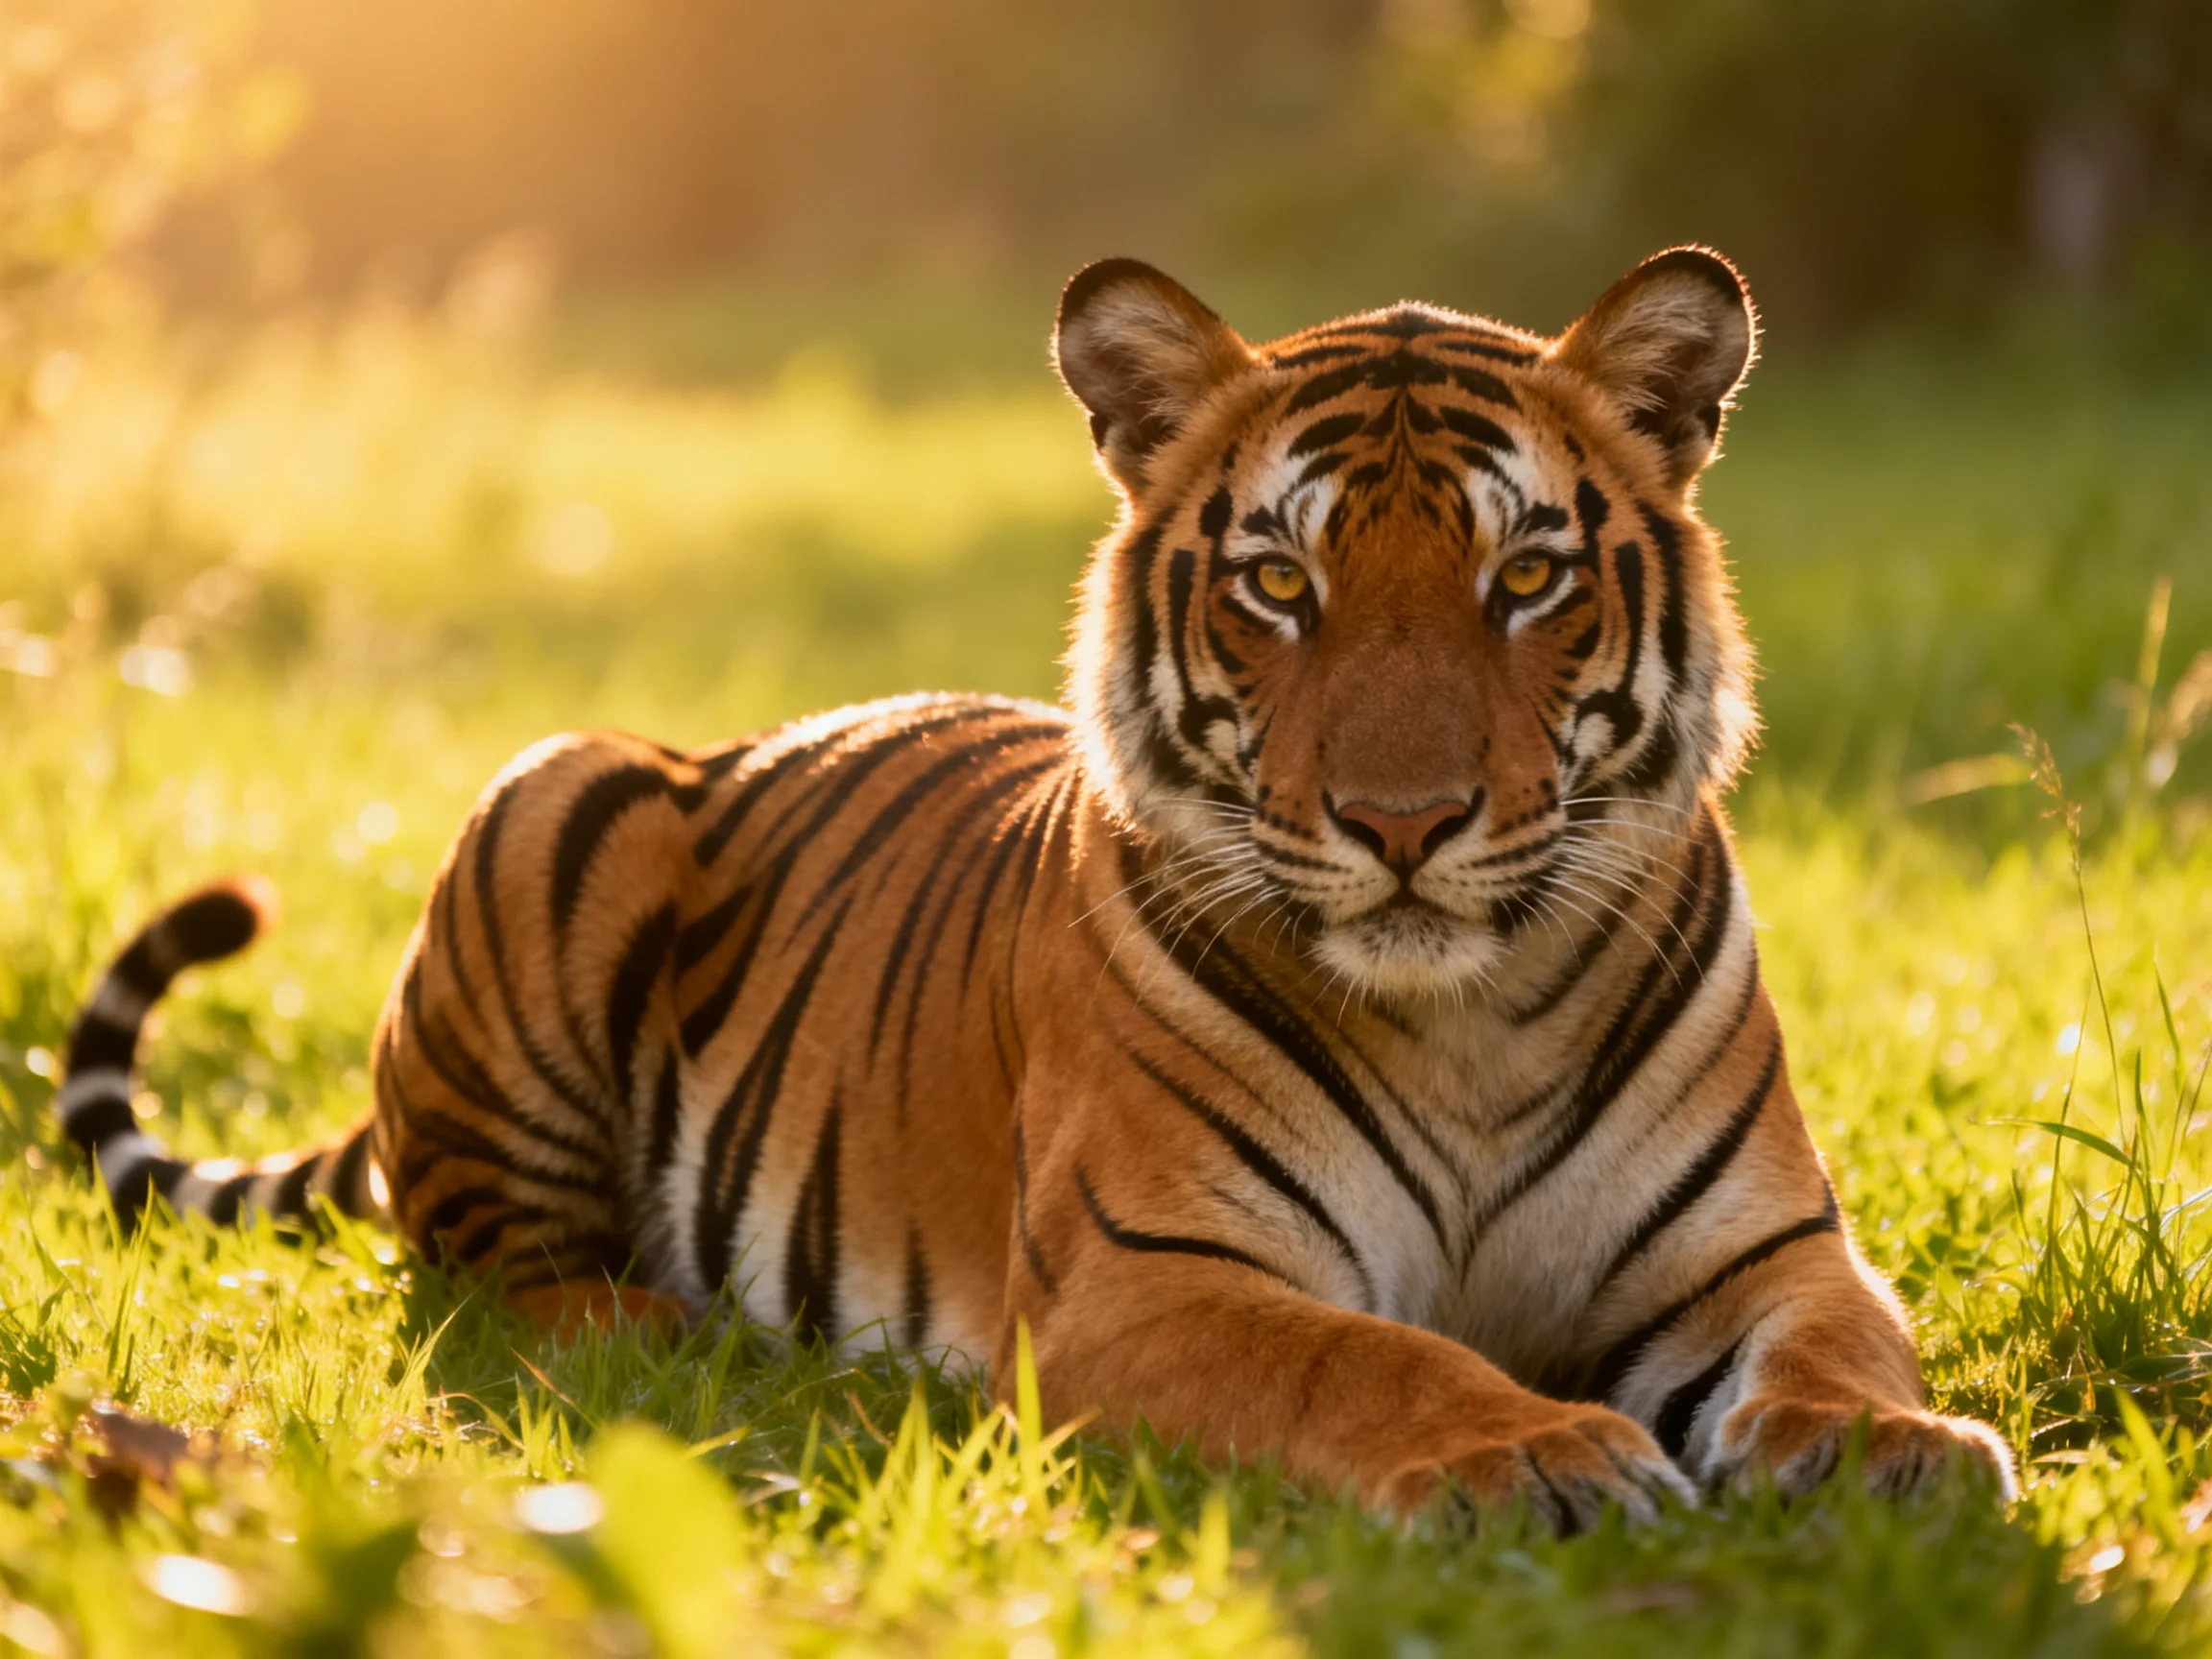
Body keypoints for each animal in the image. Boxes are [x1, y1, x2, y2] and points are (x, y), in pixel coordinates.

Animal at [54, 247, 2015, 1528]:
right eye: (1279, 583)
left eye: (1524, 575)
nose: (1402, 822)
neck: (1463, 1016)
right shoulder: (1154, 1283)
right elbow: (1368, 1360)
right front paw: (1530, 1452)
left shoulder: (1761, 1252)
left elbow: (1843, 1352)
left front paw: (1888, 1450)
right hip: (549, 791)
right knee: (478, 1263)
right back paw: (663, 1322)